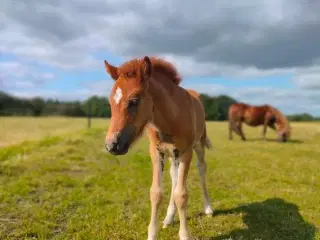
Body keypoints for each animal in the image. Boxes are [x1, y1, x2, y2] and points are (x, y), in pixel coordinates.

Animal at [104, 55, 214, 239]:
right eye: (110, 102)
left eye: (134, 101)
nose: (111, 145)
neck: (170, 119)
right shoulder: (156, 152)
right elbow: (156, 192)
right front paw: (153, 233)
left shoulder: (186, 152)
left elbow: (181, 194)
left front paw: (185, 234)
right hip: (172, 155)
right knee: (174, 176)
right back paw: (169, 217)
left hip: (198, 145)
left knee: (201, 168)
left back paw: (208, 208)